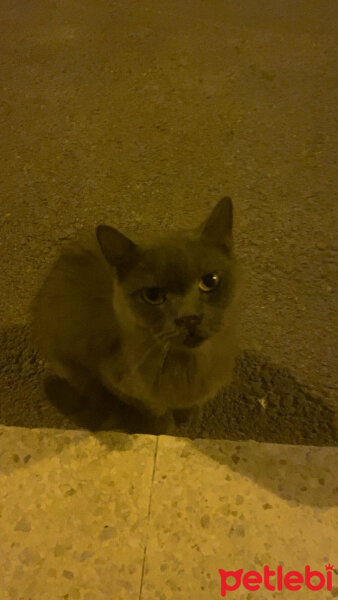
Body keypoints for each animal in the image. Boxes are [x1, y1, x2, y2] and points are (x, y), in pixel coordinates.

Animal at [31, 199, 238, 434]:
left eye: (210, 281)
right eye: (153, 295)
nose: (189, 317)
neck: (187, 365)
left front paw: (189, 414)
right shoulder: (116, 379)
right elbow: (157, 411)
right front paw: (165, 428)